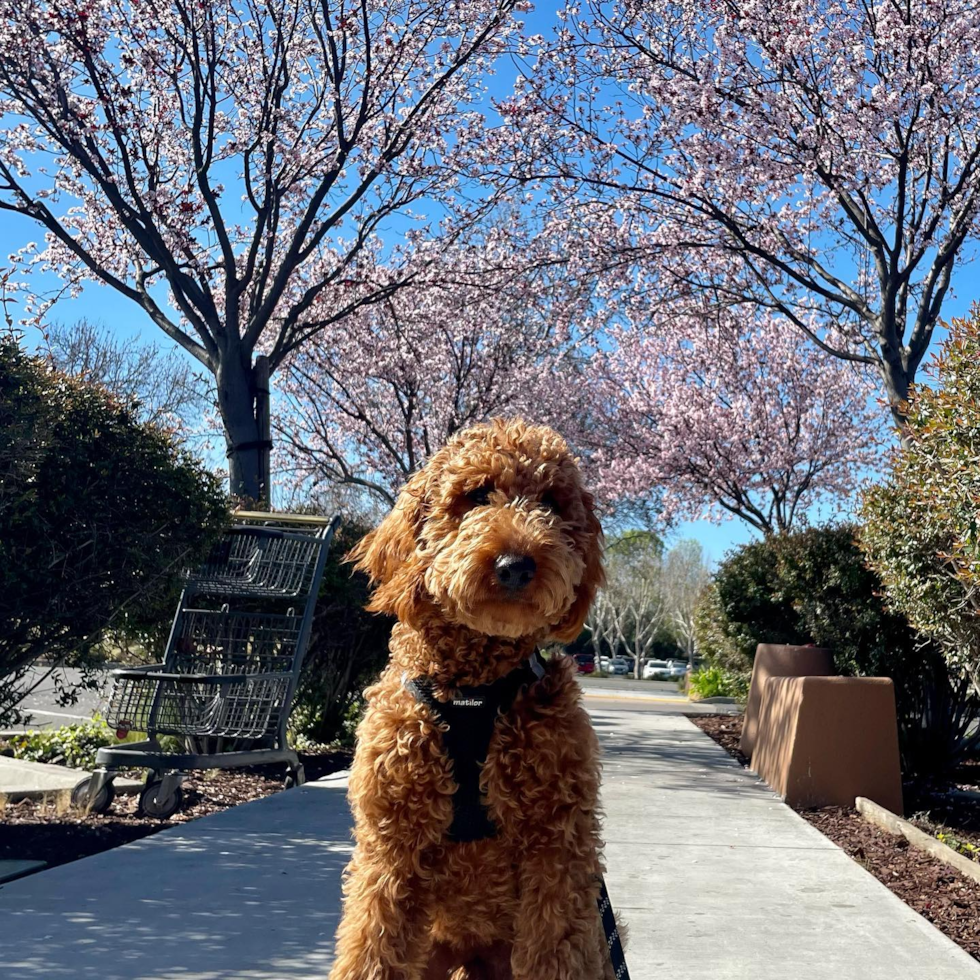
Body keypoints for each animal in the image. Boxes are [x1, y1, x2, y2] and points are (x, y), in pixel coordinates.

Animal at [330, 420, 620, 980]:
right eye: (476, 495)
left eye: (551, 503)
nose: (516, 566)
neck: (473, 693)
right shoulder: (391, 846)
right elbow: (372, 948)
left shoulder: (559, 847)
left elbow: (556, 949)